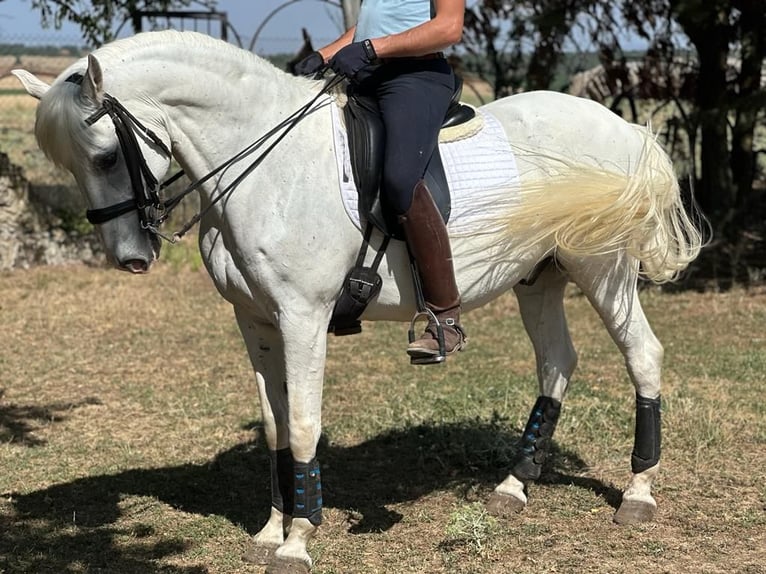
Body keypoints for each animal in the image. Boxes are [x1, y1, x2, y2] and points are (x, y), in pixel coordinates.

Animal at [15, 31, 704, 574]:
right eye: (74, 165)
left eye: (107, 155)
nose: (130, 257)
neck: (267, 168)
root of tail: (622, 127)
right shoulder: (255, 319)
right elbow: (274, 424)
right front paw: (270, 529)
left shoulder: (303, 317)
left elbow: (303, 423)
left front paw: (298, 541)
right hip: (541, 277)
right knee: (557, 363)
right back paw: (513, 488)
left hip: (603, 269)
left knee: (643, 355)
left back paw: (638, 494)